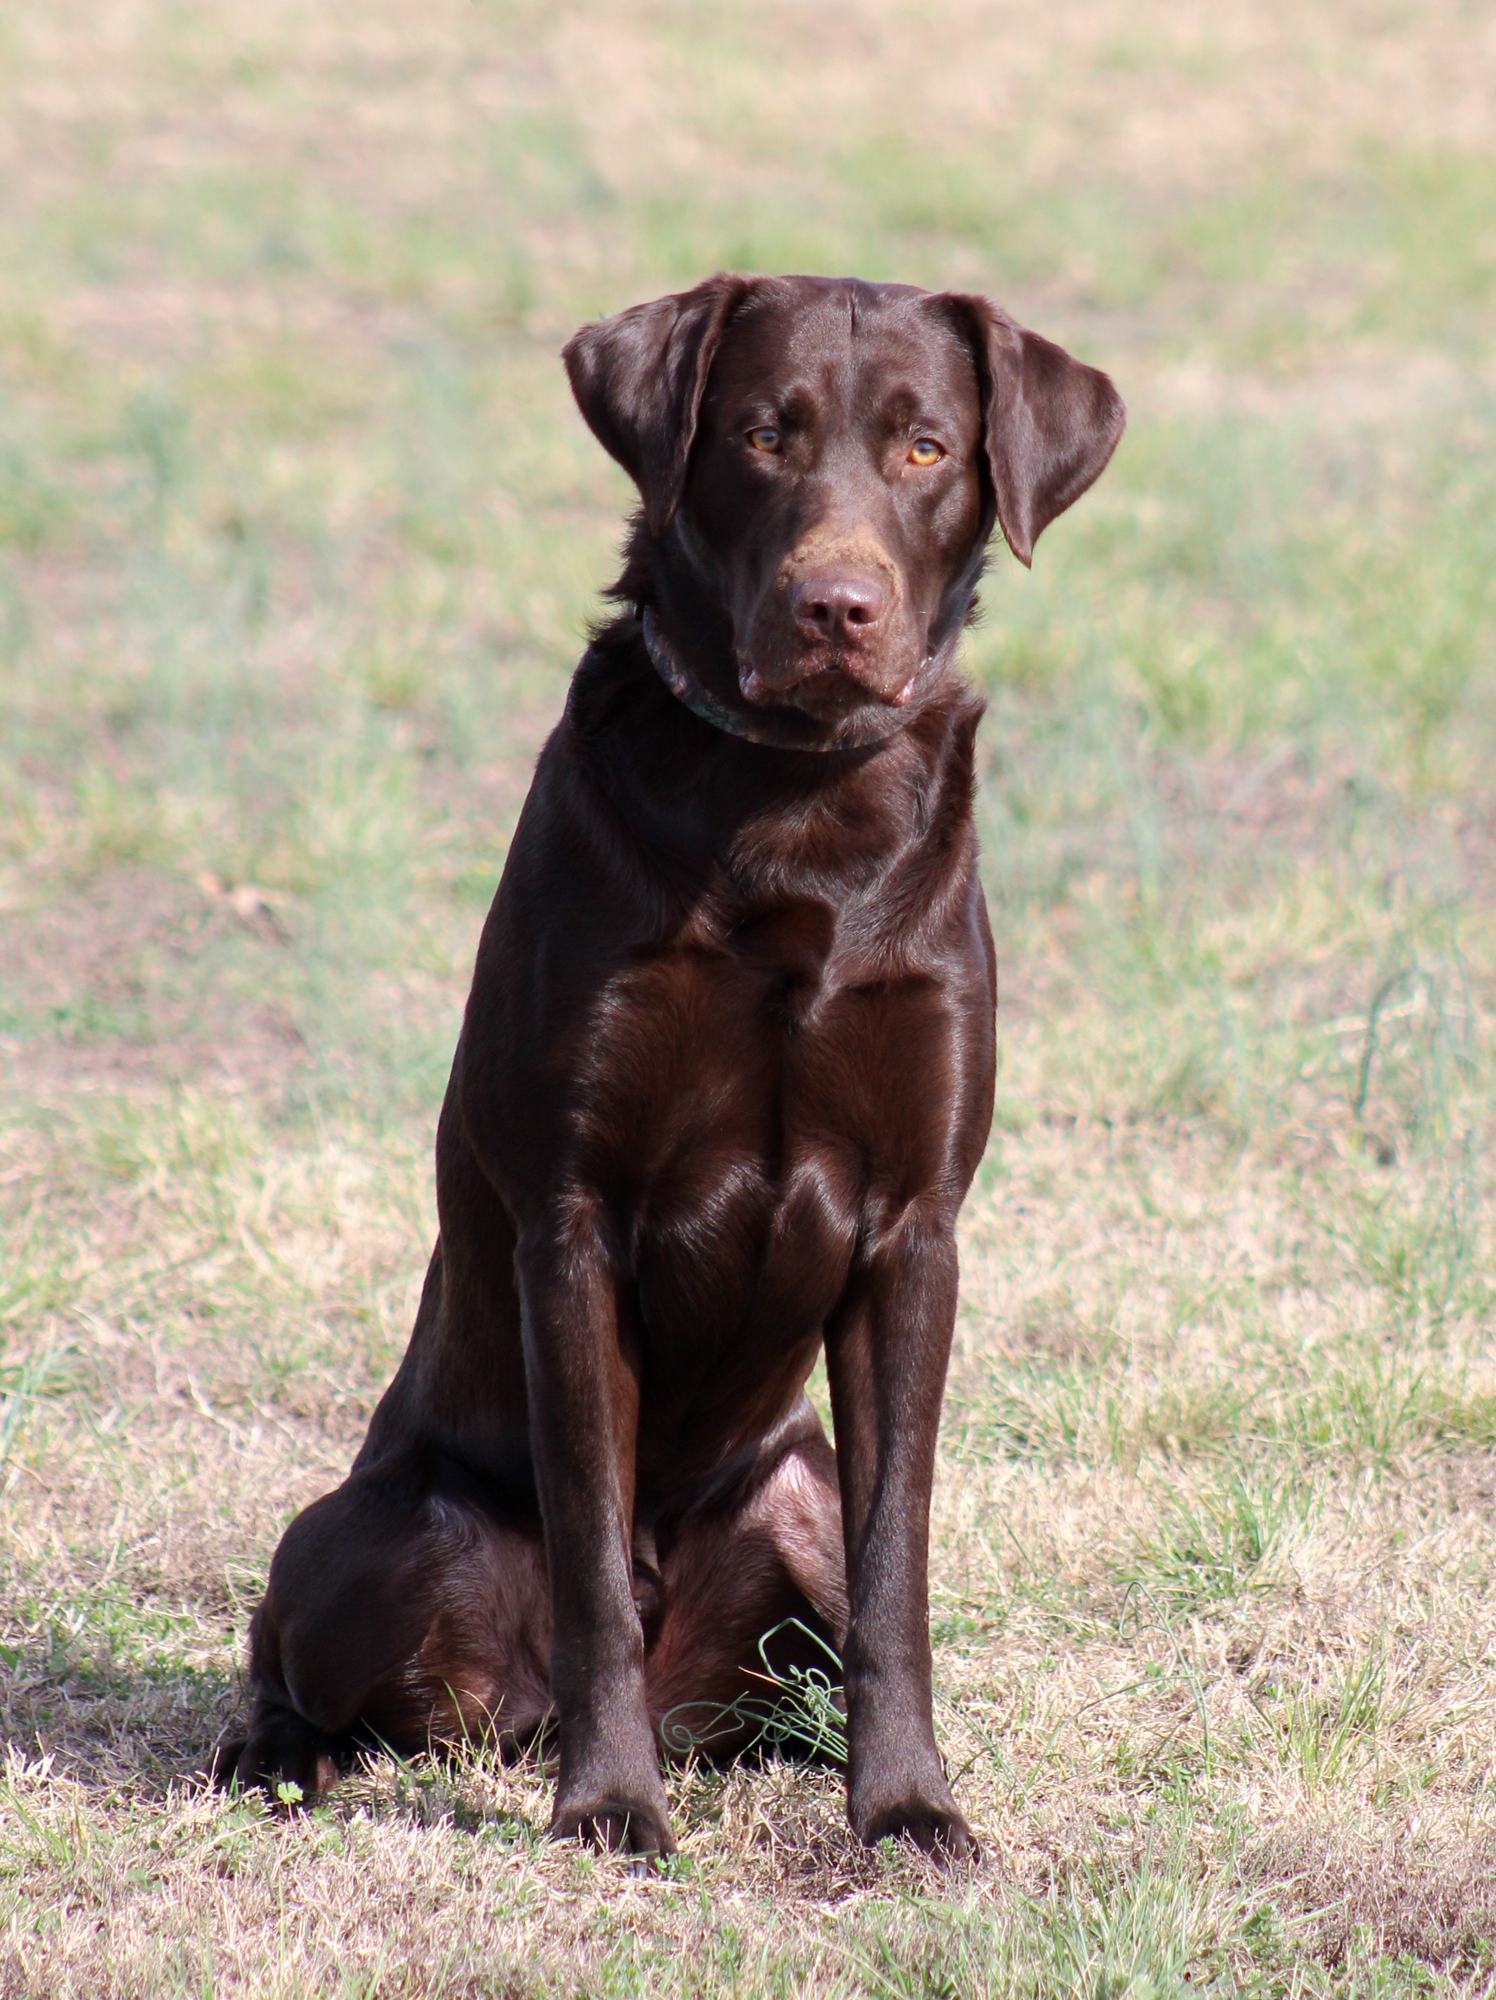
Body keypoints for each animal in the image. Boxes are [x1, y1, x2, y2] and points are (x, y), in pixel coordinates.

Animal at [216, 274, 1120, 1848]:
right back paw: (285, 1757)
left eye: (927, 449)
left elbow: (898, 1566)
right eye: (763, 434)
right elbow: (586, 1554)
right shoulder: (572, 1218)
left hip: (790, 1493)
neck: (792, 802)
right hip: (387, 1531)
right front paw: (608, 1805)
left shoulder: (917, 1228)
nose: (838, 608)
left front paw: (907, 1807)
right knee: (295, 1646)